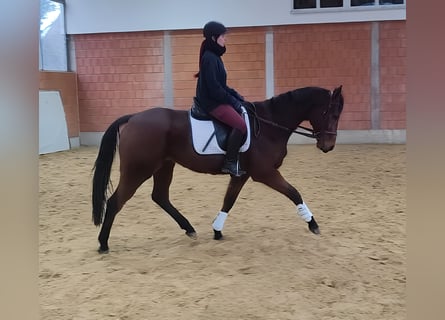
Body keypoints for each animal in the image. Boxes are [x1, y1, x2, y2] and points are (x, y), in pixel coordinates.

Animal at [92, 85, 346, 252]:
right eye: (331, 113)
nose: (328, 146)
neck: (269, 125)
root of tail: (133, 118)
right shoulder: (265, 173)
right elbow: (294, 192)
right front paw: (313, 224)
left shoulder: (242, 174)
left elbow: (229, 201)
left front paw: (217, 230)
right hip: (138, 170)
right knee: (115, 202)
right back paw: (103, 243)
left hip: (164, 166)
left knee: (160, 196)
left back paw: (189, 228)